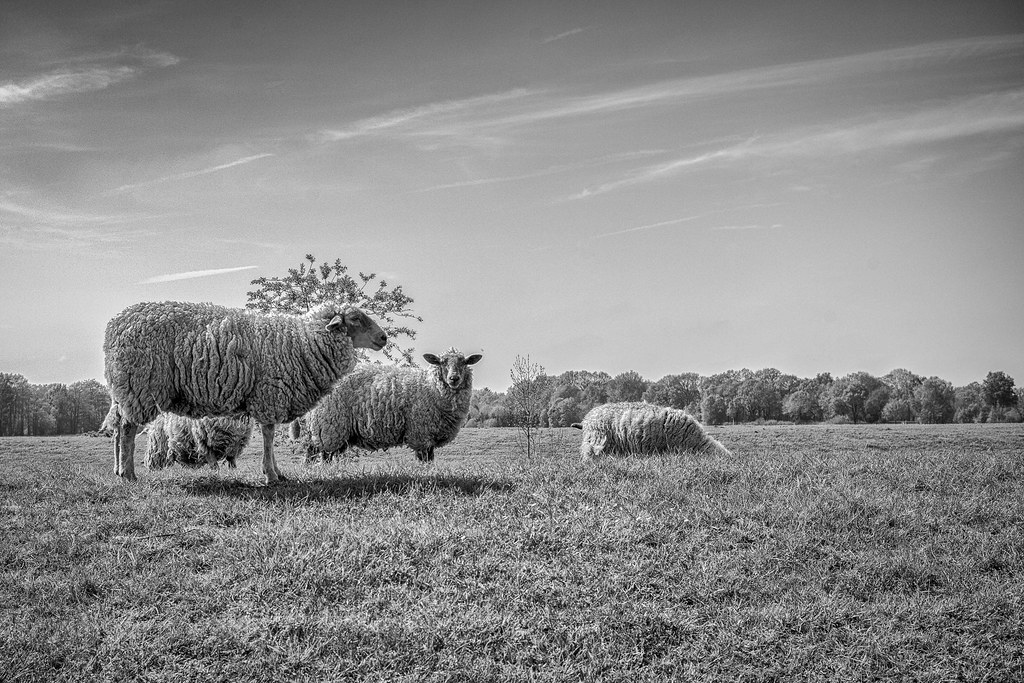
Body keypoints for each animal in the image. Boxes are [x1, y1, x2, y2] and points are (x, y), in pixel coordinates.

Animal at [103, 300, 387, 484]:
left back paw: (118, 470)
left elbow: (268, 435)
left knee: (118, 426)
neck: (304, 340)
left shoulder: (270, 396)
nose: (383, 337)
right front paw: (271, 475)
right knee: (128, 428)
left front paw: (277, 472)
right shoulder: (269, 393)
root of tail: (115, 326)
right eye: (356, 319)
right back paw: (128, 474)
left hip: (124, 390)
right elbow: (269, 435)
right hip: (141, 386)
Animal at [291, 348, 482, 463]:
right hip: (328, 425)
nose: (454, 378)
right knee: (318, 453)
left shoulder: (428, 435)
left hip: (332, 430)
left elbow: (430, 458)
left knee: (318, 453)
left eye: (464, 362)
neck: (430, 386)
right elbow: (424, 459)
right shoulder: (420, 432)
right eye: (442, 362)